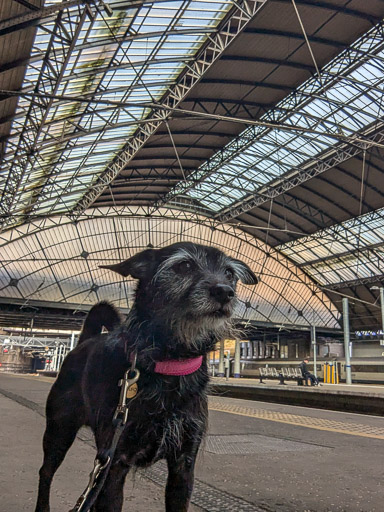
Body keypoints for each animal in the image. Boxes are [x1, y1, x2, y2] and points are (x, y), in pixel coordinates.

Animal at [35, 242, 258, 510]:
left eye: (229, 273)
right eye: (184, 265)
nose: (225, 292)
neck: (170, 363)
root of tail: (86, 340)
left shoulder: (184, 465)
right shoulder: (115, 463)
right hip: (59, 430)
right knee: (45, 473)